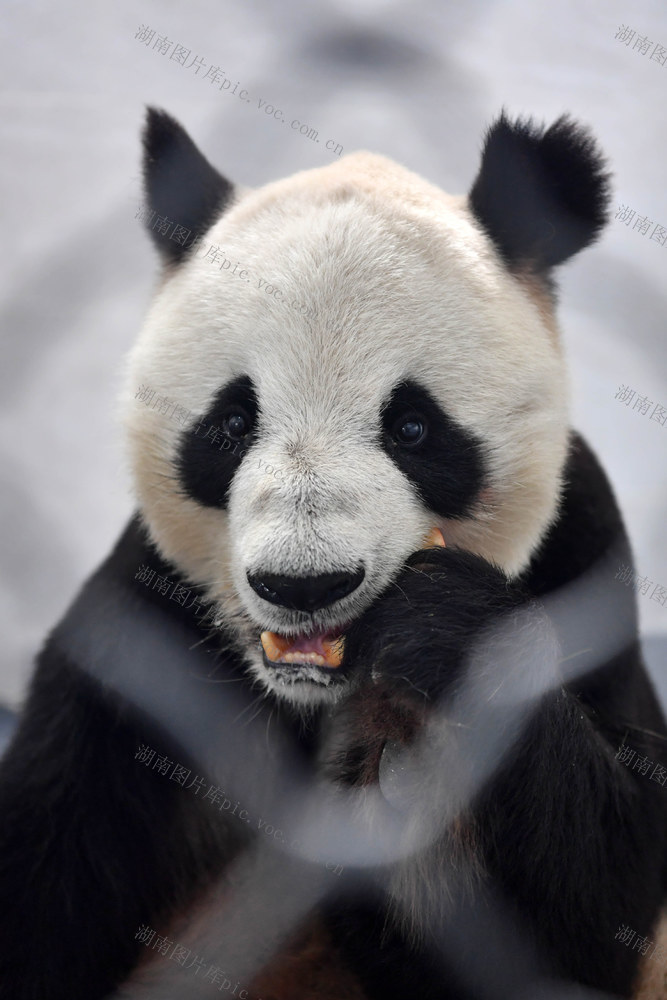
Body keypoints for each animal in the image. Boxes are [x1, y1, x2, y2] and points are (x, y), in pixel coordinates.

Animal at [1, 109, 667, 1000]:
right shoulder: (142, 640)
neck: (314, 695)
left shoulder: (582, 559)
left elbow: (590, 912)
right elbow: (47, 873)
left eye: (412, 427)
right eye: (231, 422)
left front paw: (442, 640)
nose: (304, 584)